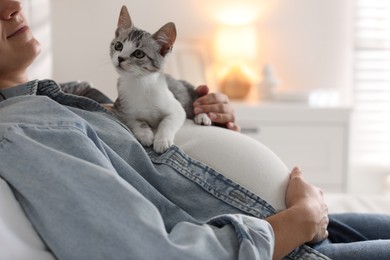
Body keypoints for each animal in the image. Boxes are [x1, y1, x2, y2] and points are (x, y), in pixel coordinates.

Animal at [109, 6, 210, 153]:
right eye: (118, 46)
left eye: (138, 53)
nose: (120, 58)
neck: (140, 83)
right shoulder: (120, 109)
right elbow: (135, 121)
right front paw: (145, 134)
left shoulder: (176, 109)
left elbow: (167, 121)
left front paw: (162, 140)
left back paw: (202, 117)